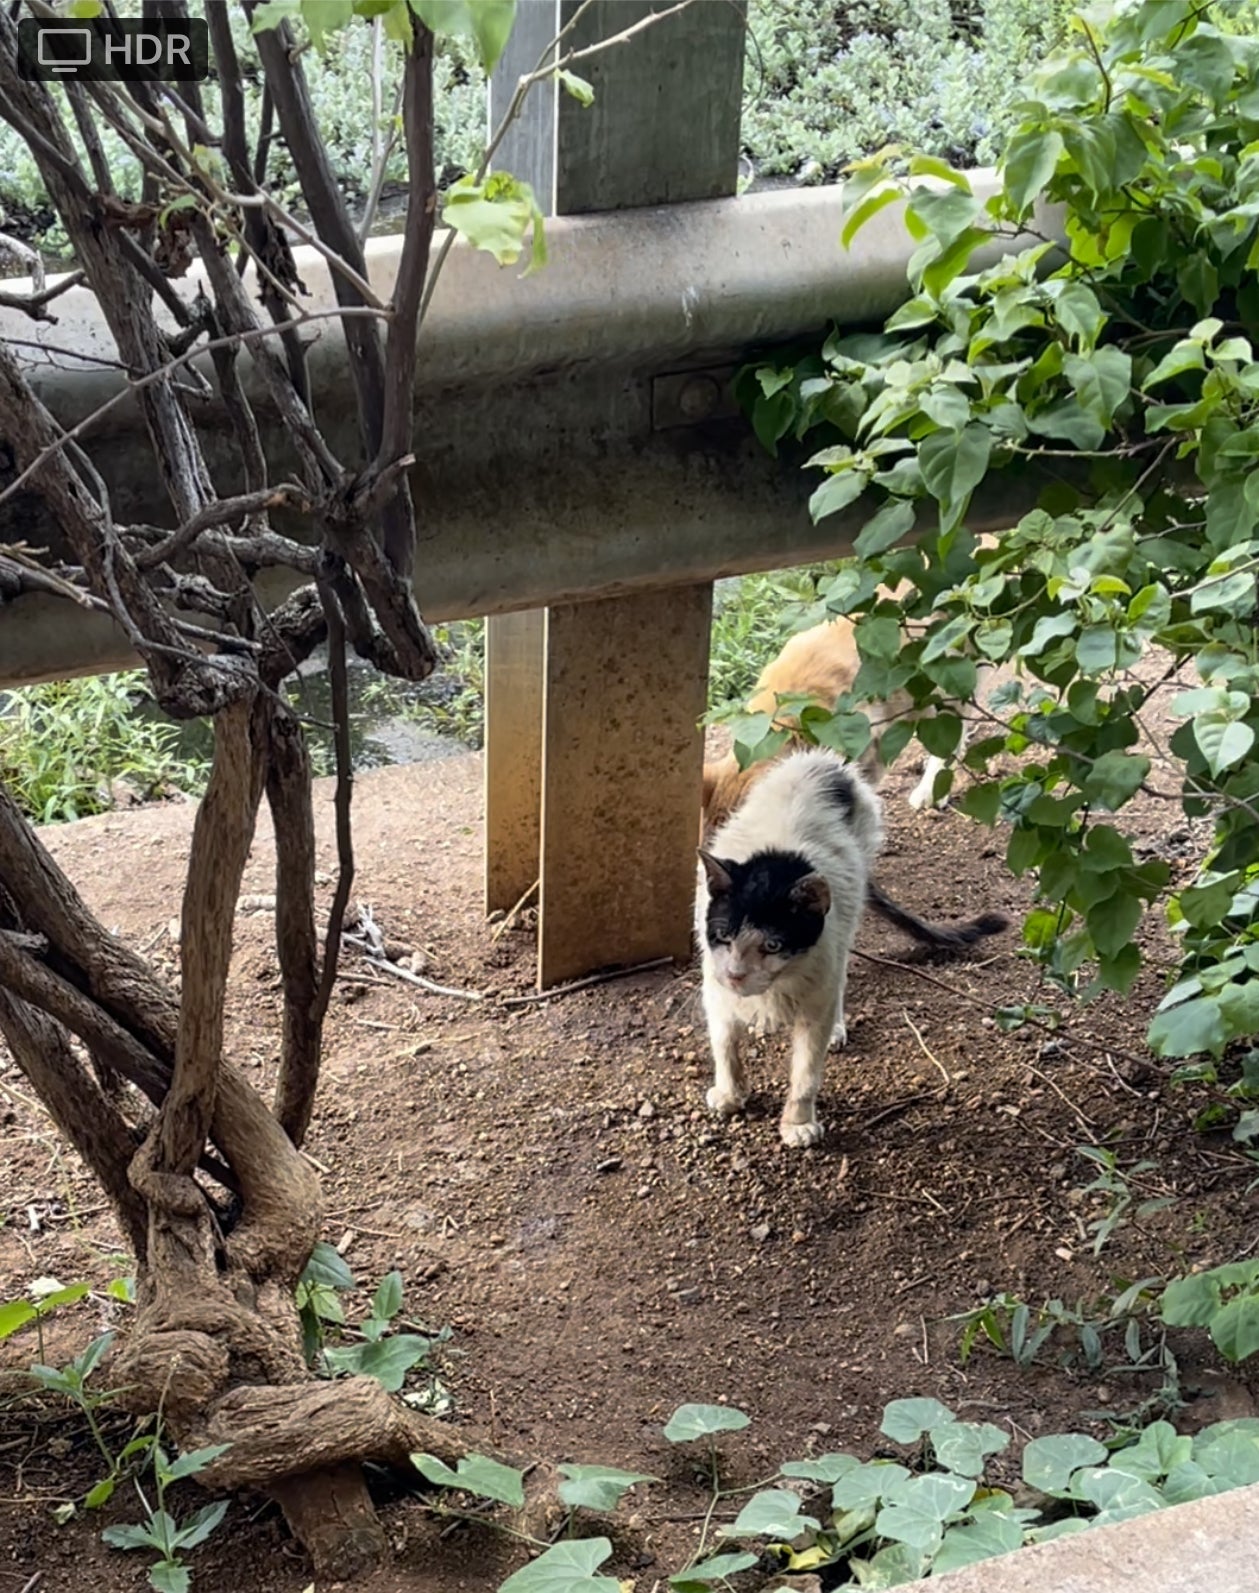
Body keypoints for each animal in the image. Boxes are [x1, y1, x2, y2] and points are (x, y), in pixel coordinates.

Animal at [696, 747, 1007, 1149]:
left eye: (773, 944)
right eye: (723, 935)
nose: (735, 974)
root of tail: (824, 760)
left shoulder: (818, 977)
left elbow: (806, 1070)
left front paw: (798, 1123)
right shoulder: (713, 982)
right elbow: (724, 1044)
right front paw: (730, 1092)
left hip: (849, 907)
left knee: (841, 974)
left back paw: (835, 1026)